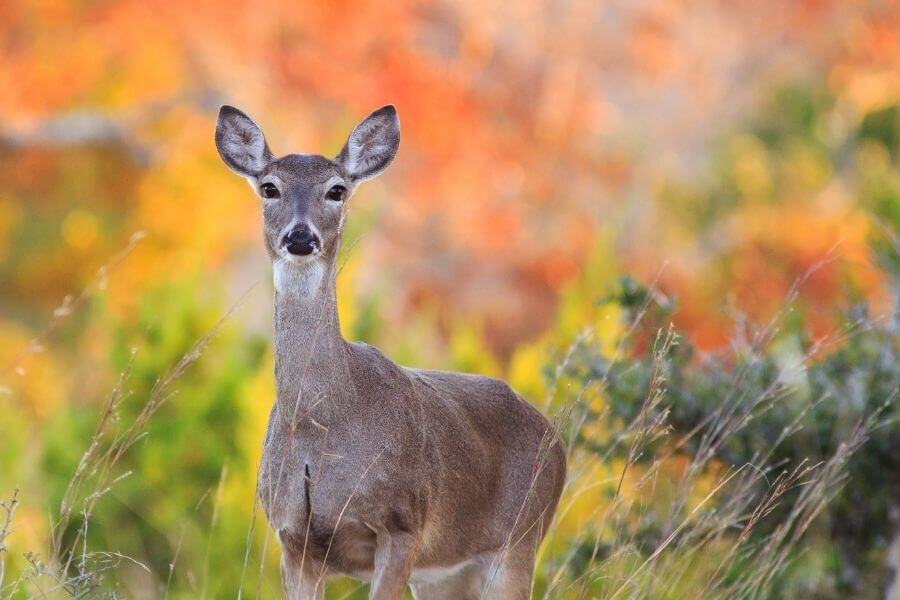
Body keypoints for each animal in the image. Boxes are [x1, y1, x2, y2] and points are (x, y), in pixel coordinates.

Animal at [215, 104, 568, 600]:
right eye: (270, 187)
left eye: (337, 190)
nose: (300, 237)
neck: (323, 427)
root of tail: (556, 441)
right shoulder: (293, 541)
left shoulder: (403, 525)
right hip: (445, 574)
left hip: (520, 540)